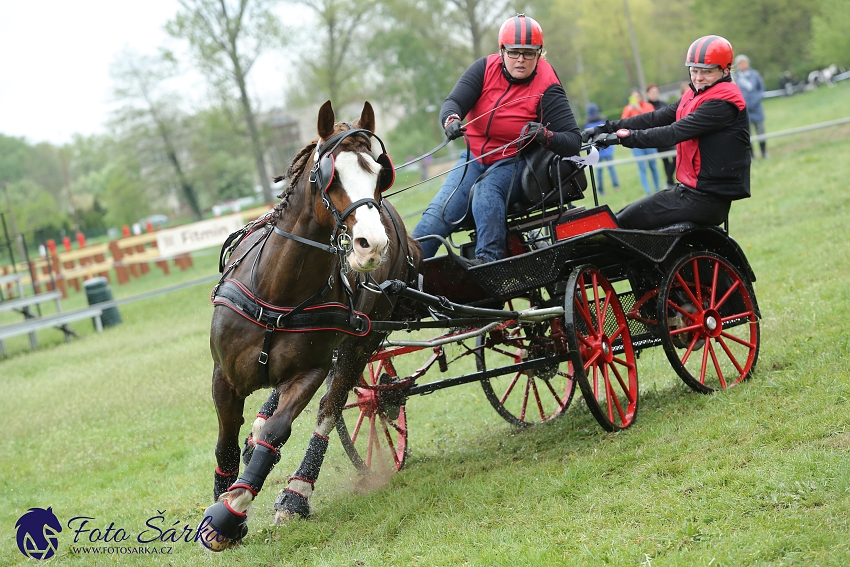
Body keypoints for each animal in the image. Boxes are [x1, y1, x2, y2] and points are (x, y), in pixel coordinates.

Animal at [202, 101, 420, 552]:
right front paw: (222, 507)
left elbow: (281, 429)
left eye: (379, 172)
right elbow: (226, 444)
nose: (371, 244)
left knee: (331, 408)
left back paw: (296, 493)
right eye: (328, 174)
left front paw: (233, 509)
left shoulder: (311, 371)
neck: (278, 291)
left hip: (362, 343)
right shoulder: (223, 377)